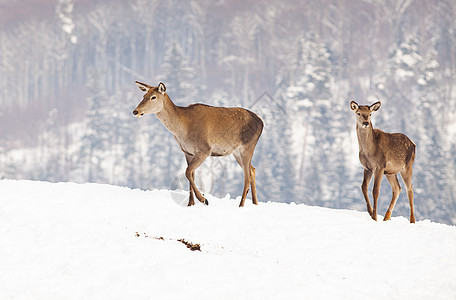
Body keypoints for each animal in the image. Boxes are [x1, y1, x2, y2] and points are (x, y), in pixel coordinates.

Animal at [132, 82, 264, 207]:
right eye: (144, 96)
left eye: (153, 97)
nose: (135, 111)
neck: (182, 130)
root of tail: (261, 122)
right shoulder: (187, 152)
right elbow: (191, 174)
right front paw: (191, 203)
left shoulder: (205, 149)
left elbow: (187, 171)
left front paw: (203, 199)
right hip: (236, 151)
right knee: (253, 170)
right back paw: (255, 203)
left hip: (248, 145)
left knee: (247, 176)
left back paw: (241, 205)